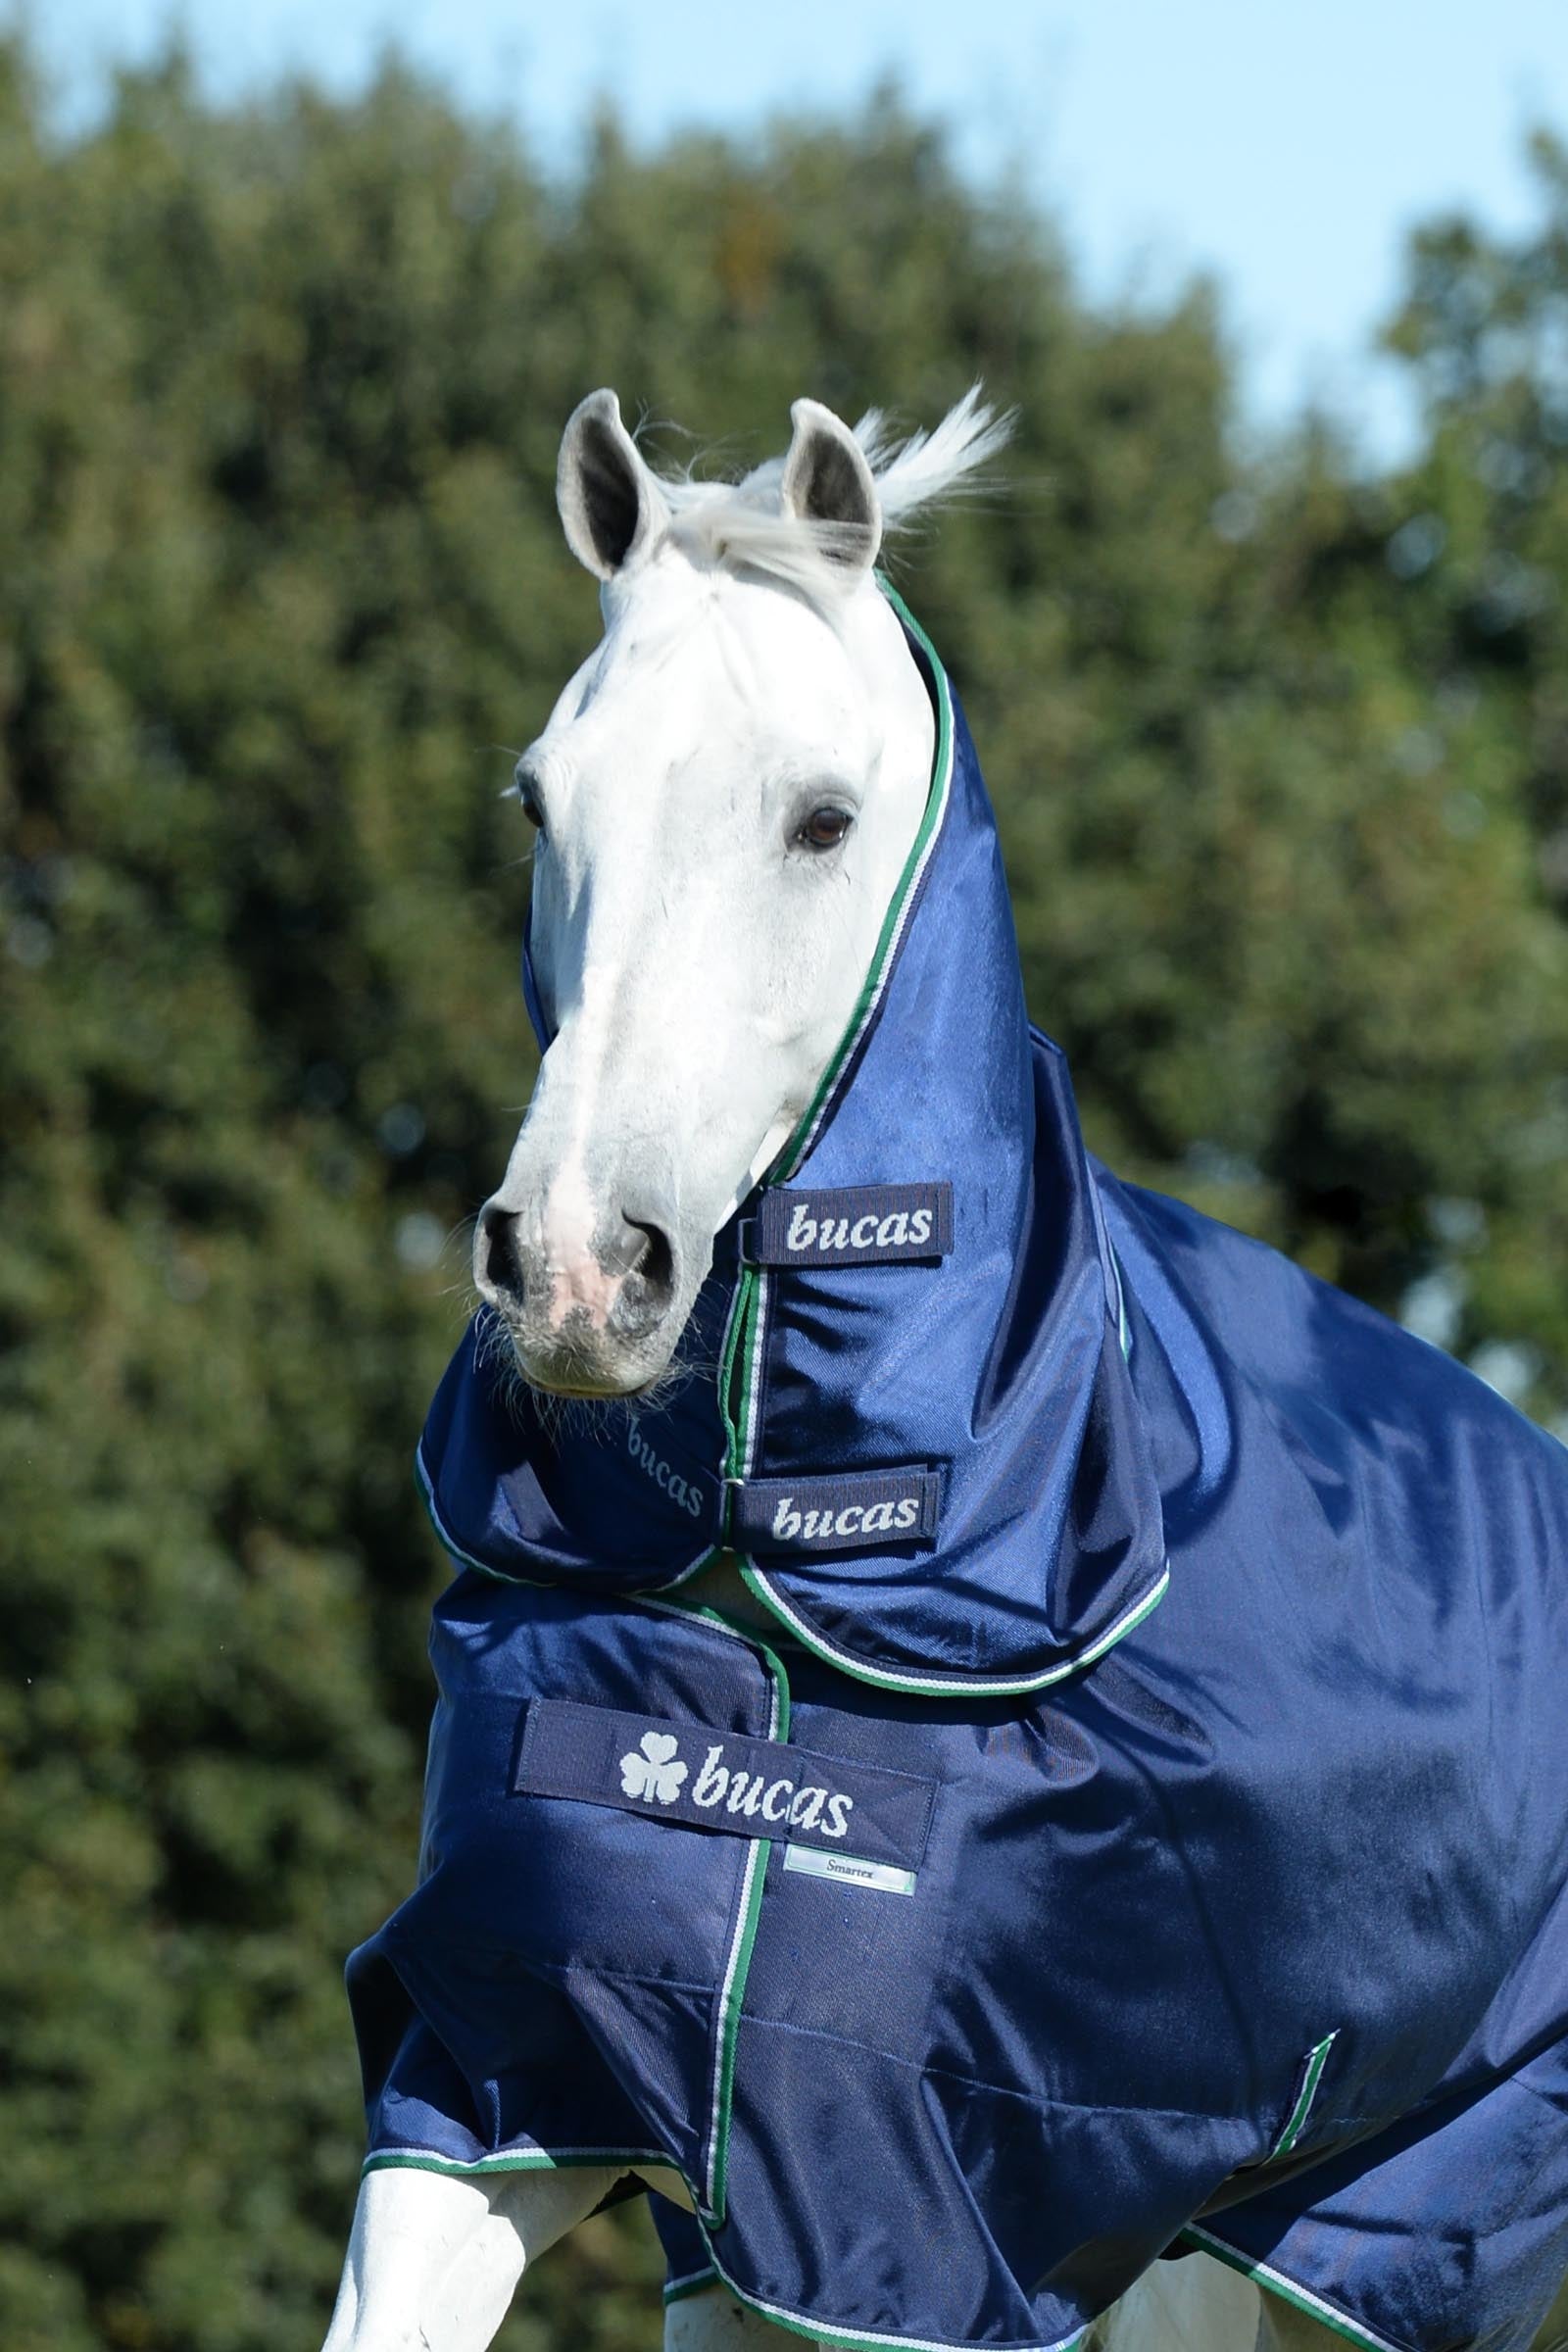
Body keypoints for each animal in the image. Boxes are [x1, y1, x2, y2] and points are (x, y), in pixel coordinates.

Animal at [322, 389, 1568, 2352]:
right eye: (540, 799)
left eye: (823, 820)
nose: (581, 1268)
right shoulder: (514, 2086)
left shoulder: (933, 2228)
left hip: (1347, 2245)